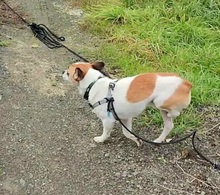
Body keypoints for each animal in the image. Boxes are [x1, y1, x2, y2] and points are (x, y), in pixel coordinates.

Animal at [62, 61, 192, 145]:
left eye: (68, 73)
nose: (62, 71)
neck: (93, 83)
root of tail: (186, 83)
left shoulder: (108, 120)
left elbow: (106, 133)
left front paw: (101, 139)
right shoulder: (125, 118)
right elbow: (126, 132)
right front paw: (136, 139)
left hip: (159, 102)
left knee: (175, 113)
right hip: (161, 110)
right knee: (169, 125)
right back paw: (159, 140)